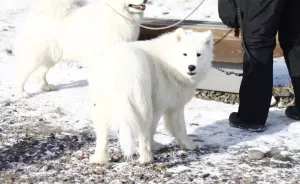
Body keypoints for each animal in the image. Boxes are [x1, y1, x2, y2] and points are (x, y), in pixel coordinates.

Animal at [13, 0, 147, 98]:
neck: (118, 15)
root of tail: (37, 14)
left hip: (51, 57)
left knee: (41, 72)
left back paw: (45, 86)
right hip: (35, 57)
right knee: (21, 75)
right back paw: (21, 93)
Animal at [86, 28, 213, 165]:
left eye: (198, 54)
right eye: (185, 54)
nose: (191, 67)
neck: (169, 61)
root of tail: (120, 70)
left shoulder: (175, 105)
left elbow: (179, 127)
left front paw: (187, 145)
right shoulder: (161, 105)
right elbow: (158, 129)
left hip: (100, 106)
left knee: (102, 135)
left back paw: (99, 158)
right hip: (143, 105)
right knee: (144, 133)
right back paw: (146, 158)